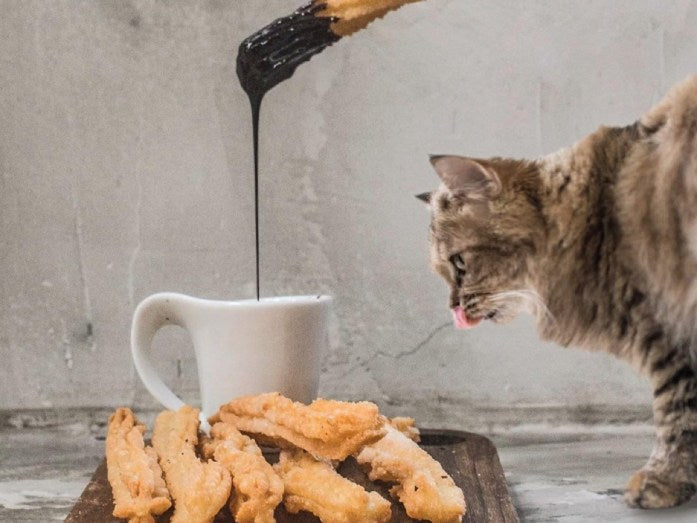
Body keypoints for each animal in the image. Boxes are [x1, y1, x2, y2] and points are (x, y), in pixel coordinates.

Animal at [418, 75, 696, 510]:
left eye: (460, 264)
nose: (454, 309)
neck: (596, 215)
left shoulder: (667, 329)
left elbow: (676, 412)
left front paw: (663, 481)